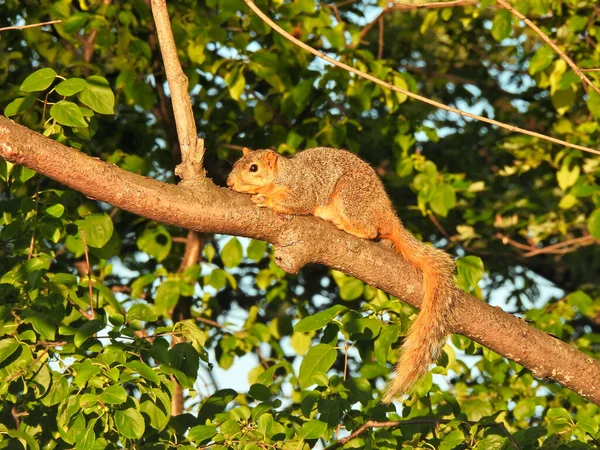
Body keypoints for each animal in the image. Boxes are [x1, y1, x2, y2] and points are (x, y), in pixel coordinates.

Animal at [229, 147, 454, 400]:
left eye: (253, 168)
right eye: (236, 163)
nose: (229, 183)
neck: (284, 173)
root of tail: (386, 212)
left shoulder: (303, 188)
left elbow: (298, 201)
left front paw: (264, 199)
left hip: (350, 196)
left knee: (370, 230)